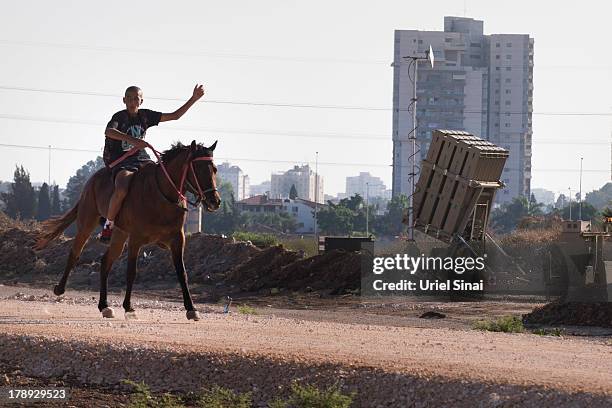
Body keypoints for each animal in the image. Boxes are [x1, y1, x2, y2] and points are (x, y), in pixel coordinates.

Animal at [34, 141, 221, 322]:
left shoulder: (177, 239)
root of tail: (92, 180)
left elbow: (182, 273)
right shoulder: (136, 239)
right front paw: (129, 308)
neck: (162, 195)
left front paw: (191, 309)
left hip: (119, 234)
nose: (215, 201)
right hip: (87, 221)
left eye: (214, 169)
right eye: (197, 168)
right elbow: (131, 272)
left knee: (106, 261)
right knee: (75, 252)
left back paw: (104, 306)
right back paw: (60, 288)